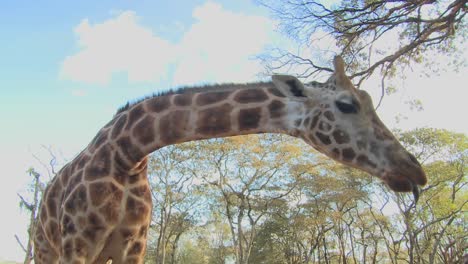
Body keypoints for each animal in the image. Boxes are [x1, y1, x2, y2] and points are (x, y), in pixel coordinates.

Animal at [34, 55, 426, 262]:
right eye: (347, 105)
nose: (414, 170)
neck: (128, 152)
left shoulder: (135, 246)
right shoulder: (76, 245)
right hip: (44, 247)